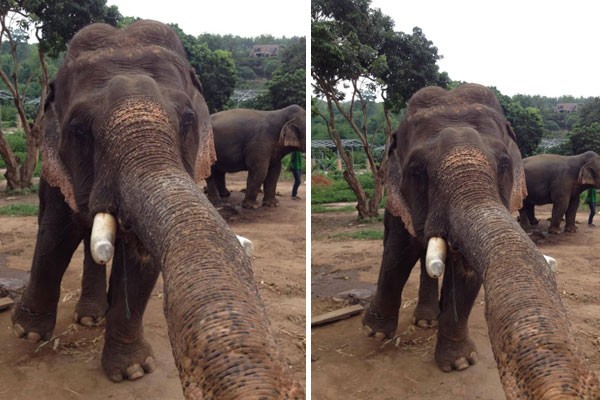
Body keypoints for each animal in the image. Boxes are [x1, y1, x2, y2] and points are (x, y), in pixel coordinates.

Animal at [11, 21, 304, 400]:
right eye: (77, 129)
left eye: (188, 120)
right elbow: (57, 235)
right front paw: (27, 332)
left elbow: (142, 259)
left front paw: (132, 371)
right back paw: (87, 317)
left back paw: (93, 316)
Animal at [360, 83, 600, 398]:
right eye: (416, 170)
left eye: (504, 164)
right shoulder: (401, 202)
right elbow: (399, 255)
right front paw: (374, 332)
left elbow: (467, 274)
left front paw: (459, 363)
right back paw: (422, 320)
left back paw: (428, 319)